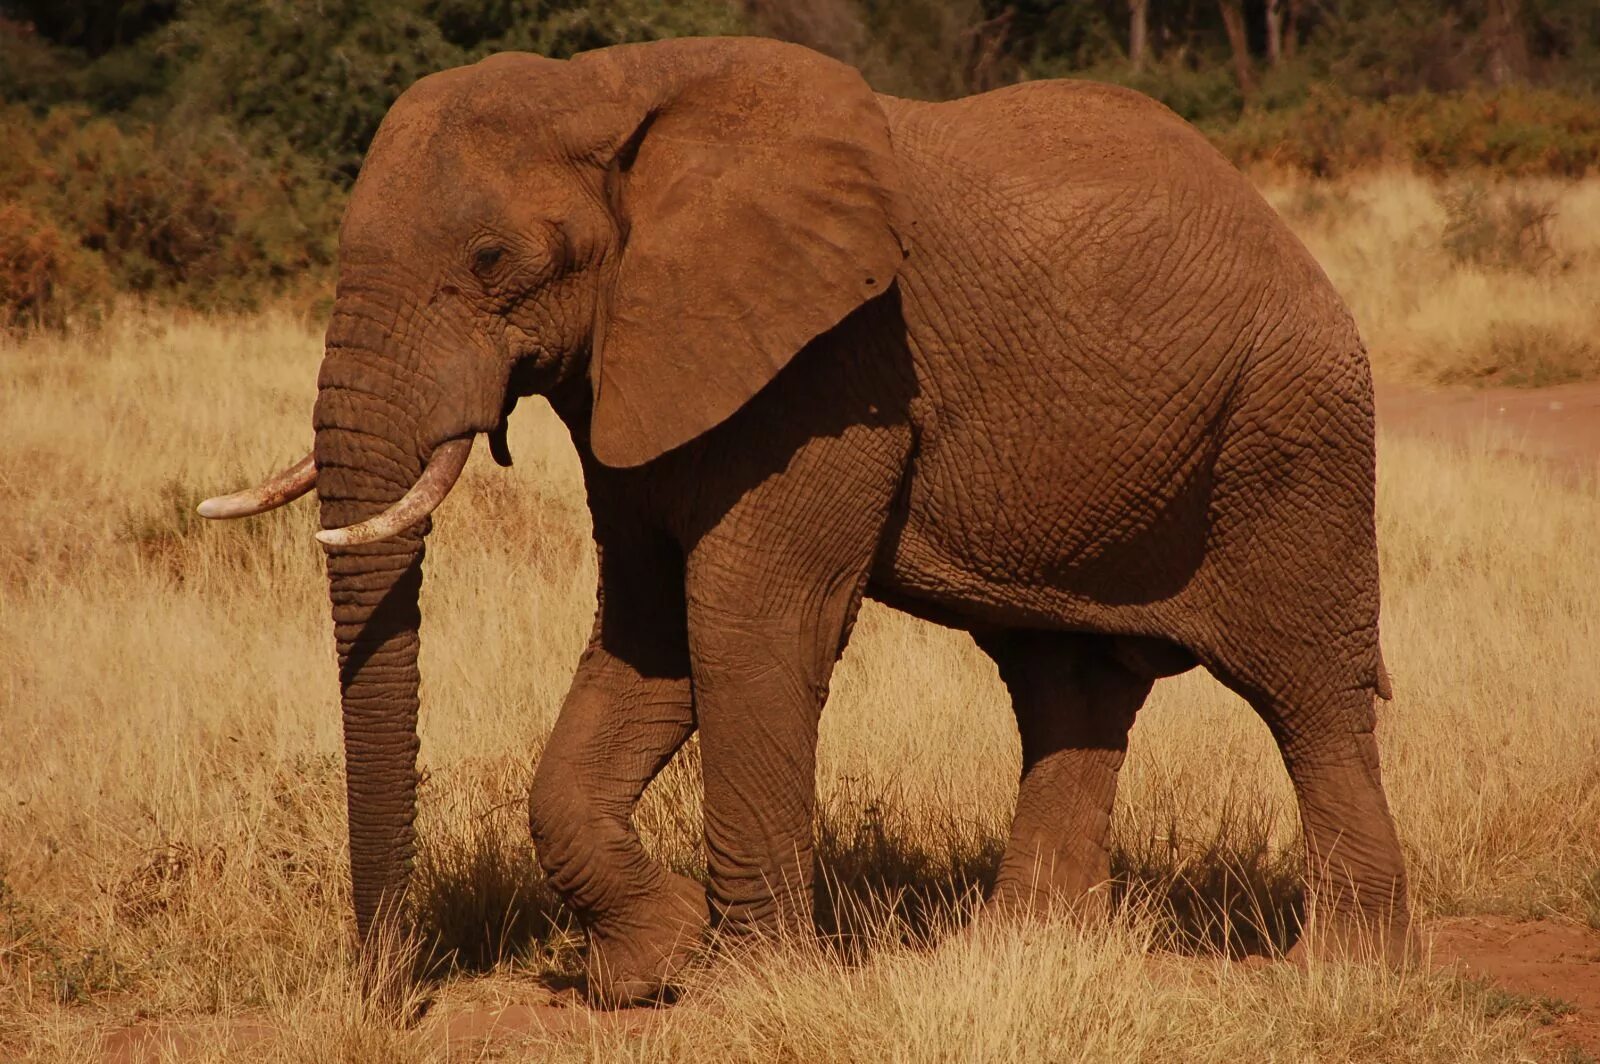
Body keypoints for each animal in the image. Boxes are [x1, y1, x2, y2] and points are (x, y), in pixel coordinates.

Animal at [200, 35, 1414, 1004]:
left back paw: (1345, 970)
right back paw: (1021, 952)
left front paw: (744, 983)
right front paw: (648, 964)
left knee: (1307, 691)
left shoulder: (831, 366)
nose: (388, 996)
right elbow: (652, 629)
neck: (610, 87)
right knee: (1066, 686)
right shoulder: (645, 358)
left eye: (493, 260)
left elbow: (748, 619)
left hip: (1291, 436)